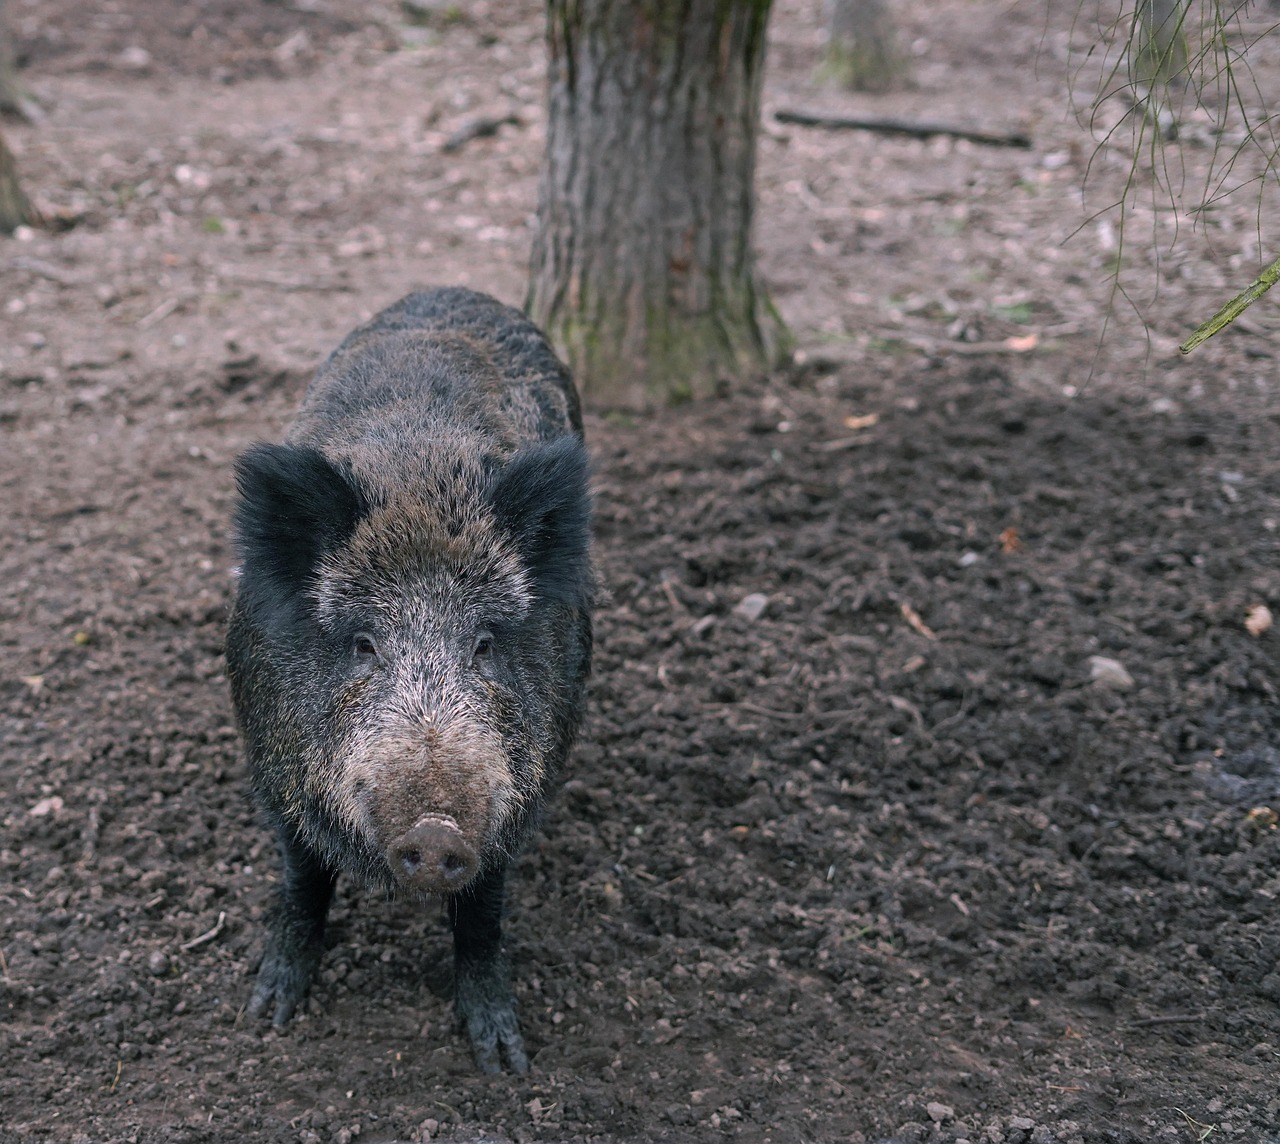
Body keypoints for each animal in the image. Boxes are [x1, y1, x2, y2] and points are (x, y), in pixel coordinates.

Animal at [225, 288, 593, 1073]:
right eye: (364, 644)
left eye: (484, 645)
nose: (436, 826)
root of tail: (450, 289)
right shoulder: (272, 770)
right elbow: (302, 882)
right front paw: (268, 1015)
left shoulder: (518, 801)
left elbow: (482, 916)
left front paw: (504, 1060)